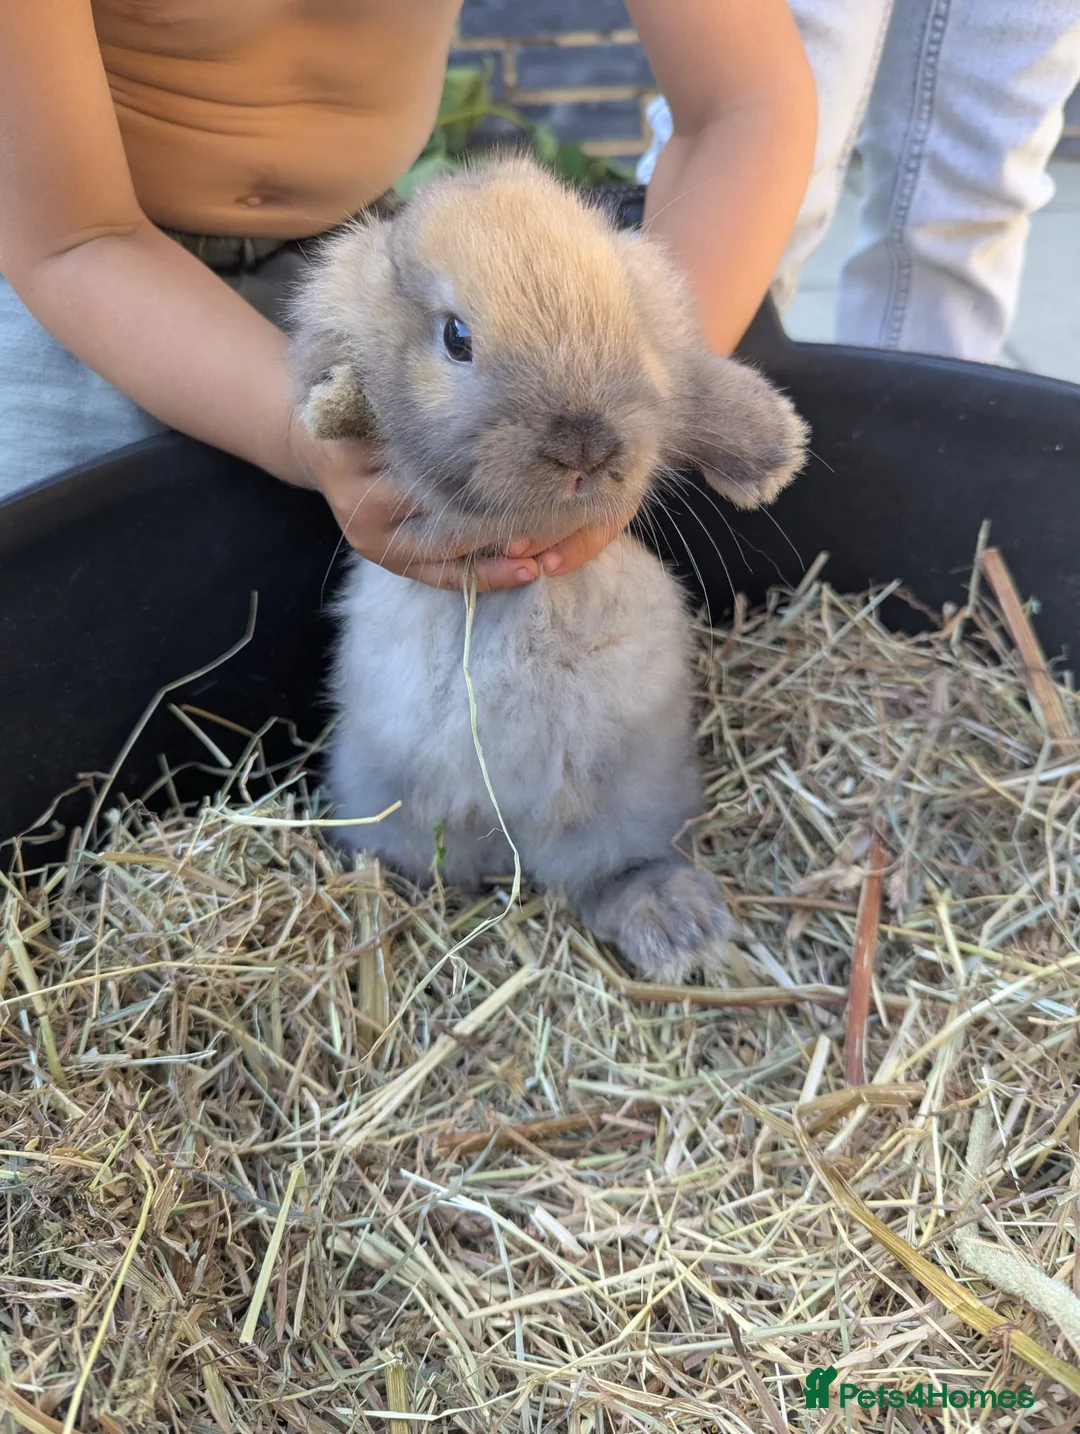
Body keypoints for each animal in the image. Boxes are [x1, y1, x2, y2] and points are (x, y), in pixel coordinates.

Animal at [288, 157, 808, 983]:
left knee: (613, 869)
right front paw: (331, 403)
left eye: (622, 311)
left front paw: (775, 455)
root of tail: (509, 838)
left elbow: (695, 388)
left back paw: (677, 925)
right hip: (388, 795)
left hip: (628, 799)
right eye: (456, 338)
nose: (584, 447)